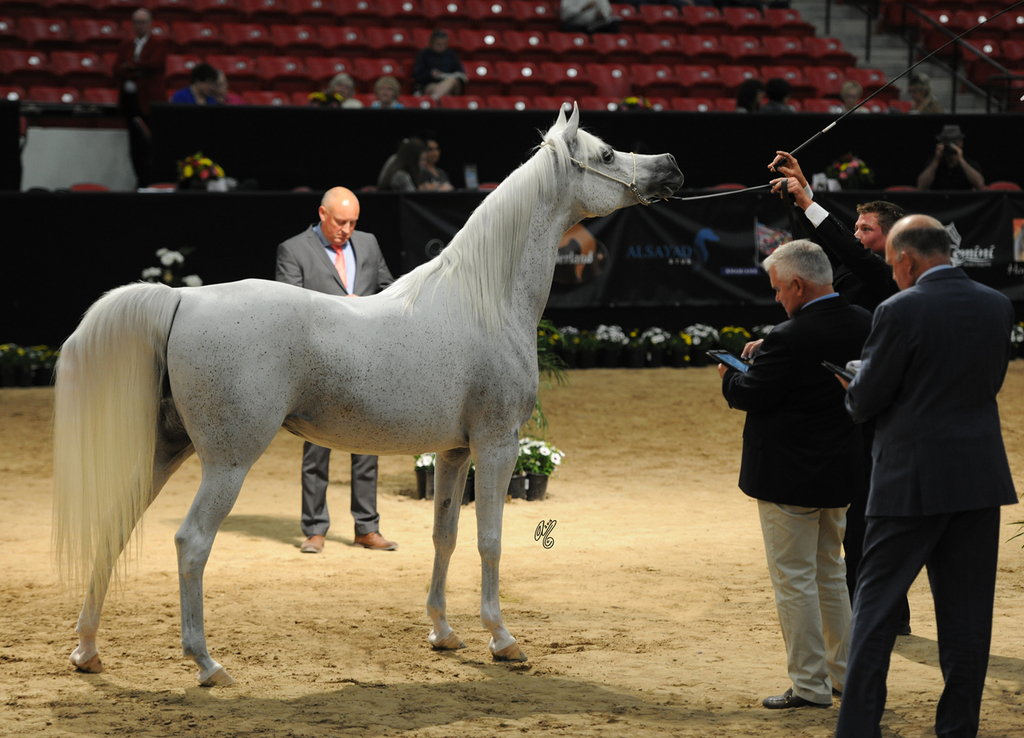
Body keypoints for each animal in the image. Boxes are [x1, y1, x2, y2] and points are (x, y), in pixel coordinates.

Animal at [52, 104, 683, 687]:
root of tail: (184, 300)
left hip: (167, 449)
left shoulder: (454, 452)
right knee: (192, 543)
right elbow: (490, 540)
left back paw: (87, 652)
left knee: (114, 527)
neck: (484, 300)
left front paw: (443, 633)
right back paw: (207, 665)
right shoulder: (498, 444)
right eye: (606, 154)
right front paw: (502, 640)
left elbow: (445, 535)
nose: (671, 166)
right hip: (227, 462)